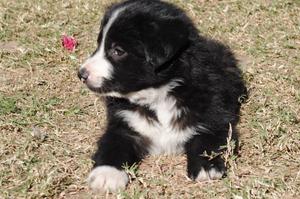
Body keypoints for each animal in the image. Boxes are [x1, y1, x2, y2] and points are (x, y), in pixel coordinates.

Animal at [78, 0, 247, 193]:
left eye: (118, 51)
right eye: (99, 44)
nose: (81, 74)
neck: (158, 94)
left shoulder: (213, 113)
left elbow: (207, 138)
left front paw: (206, 167)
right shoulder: (124, 122)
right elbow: (114, 143)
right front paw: (106, 174)